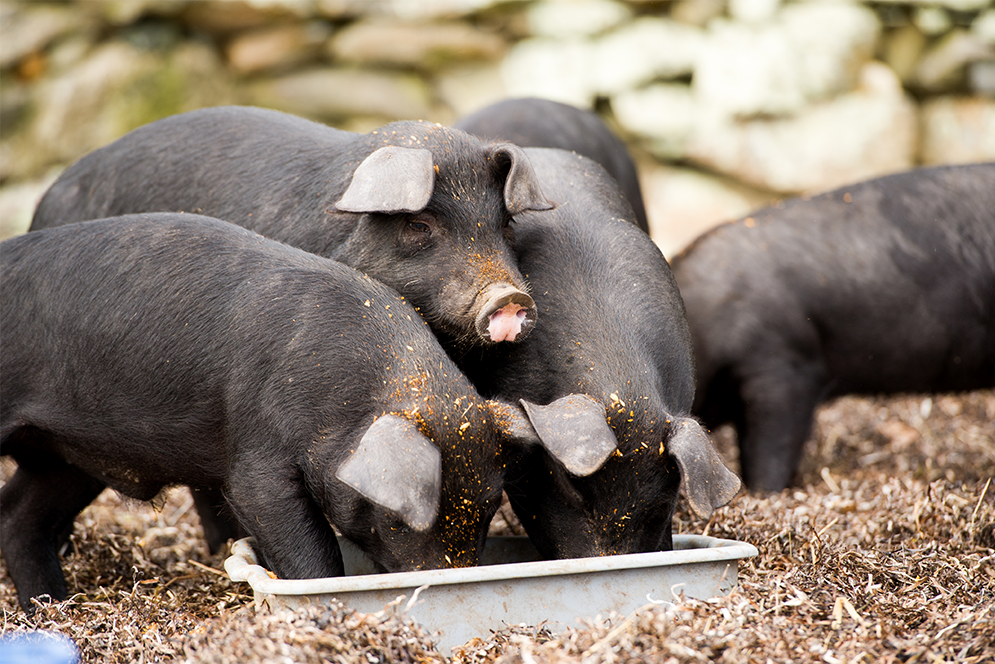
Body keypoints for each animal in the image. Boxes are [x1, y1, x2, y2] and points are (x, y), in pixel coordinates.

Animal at [0, 214, 608, 612]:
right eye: (398, 518)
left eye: (484, 511)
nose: (441, 584)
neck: (344, 399)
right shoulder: (254, 460)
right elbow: (301, 542)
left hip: (65, 455)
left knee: (20, 516)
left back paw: (51, 608)